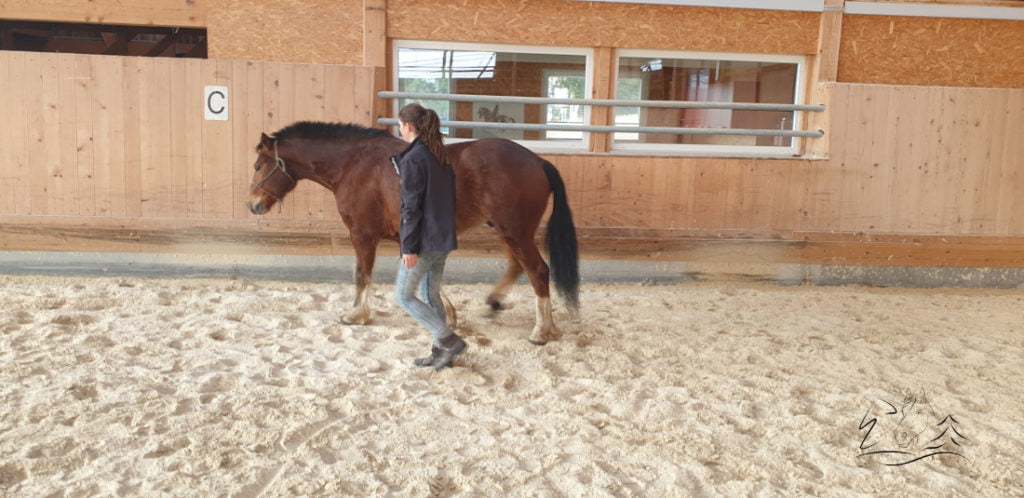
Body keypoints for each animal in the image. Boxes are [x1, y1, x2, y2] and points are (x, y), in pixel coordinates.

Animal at [246, 121, 579, 345]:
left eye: (259, 165)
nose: (252, 204)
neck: (354, 164)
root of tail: (538, 161)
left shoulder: (362, 234)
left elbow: (362, 275)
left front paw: (356, 315)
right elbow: (427, 278)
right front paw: (448, 313)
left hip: (515, 231)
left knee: (538, 271)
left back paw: (542, 331)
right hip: (505, 230)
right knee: (516, 267)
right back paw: (495, 303)